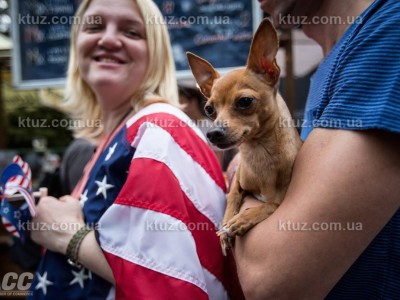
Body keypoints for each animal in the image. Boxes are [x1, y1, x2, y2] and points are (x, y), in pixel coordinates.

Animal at [189, 18, 302, 255]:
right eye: (209, 109)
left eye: (245, 102)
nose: (213, 133)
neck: (258, 152)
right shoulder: (237, 183)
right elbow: (232, 198)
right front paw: (227, 224)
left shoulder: (281, 202)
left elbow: (270, 205)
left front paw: (242, 219)